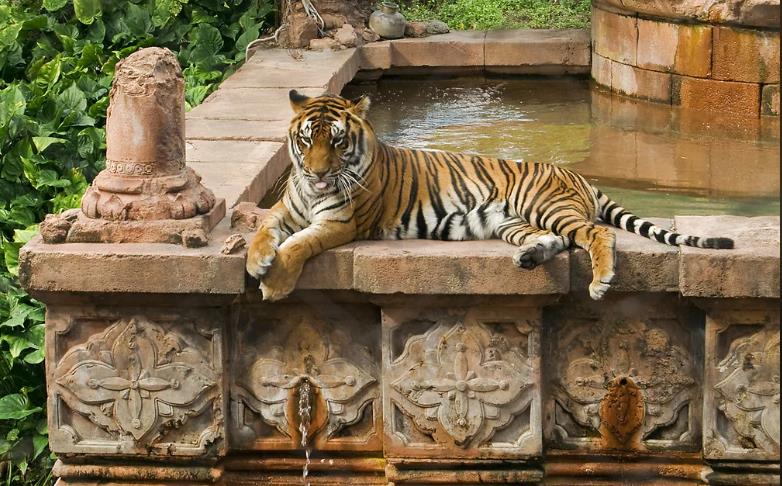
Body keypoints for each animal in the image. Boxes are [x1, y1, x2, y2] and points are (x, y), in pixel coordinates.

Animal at [246, 90, 734, 302]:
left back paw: (600, 282)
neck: (311, 191)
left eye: (337, 141)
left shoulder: (340, 223)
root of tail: (576, 173)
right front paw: (255, 260)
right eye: (306, 140)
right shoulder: (285, 208)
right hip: (509, 221)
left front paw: (273, 282)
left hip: (544, 204)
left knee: (596, 234)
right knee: (556, 240)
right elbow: (266, 228)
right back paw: (530, 258)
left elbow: (299, 245)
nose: (317, 172)